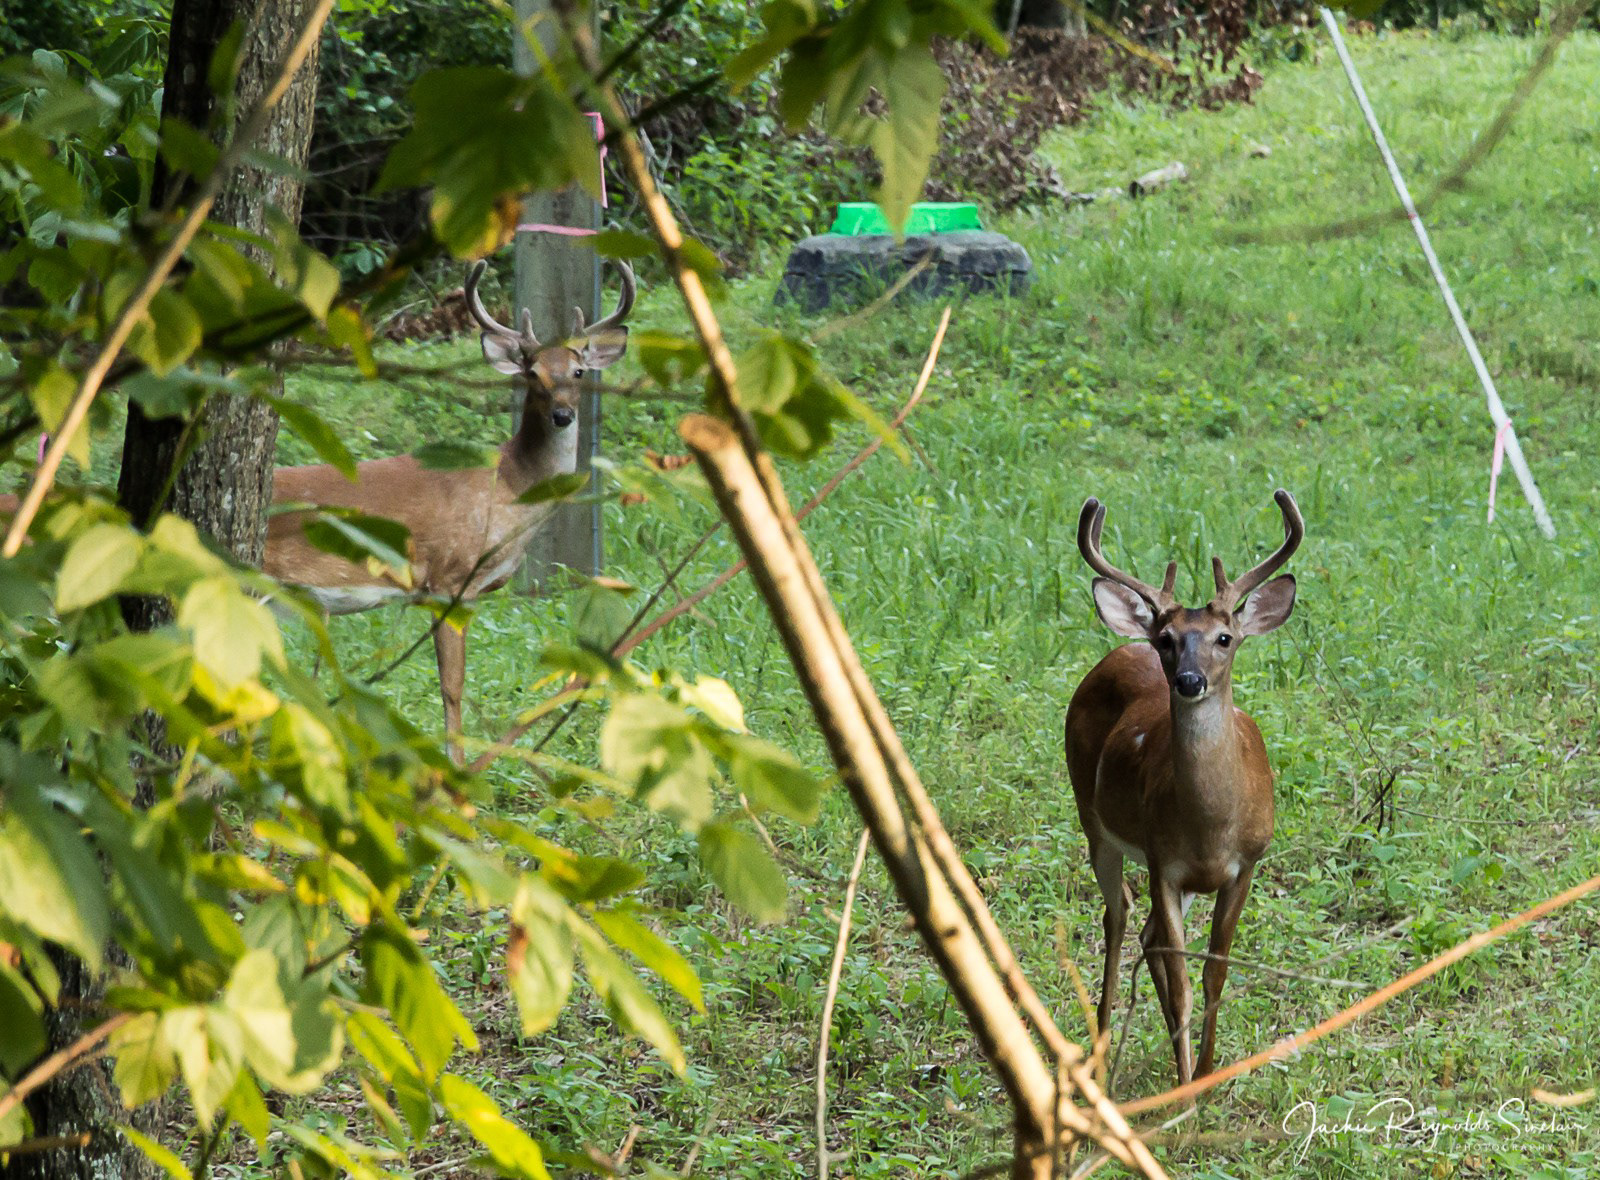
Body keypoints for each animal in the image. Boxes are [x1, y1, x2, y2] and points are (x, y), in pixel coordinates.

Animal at [264, 258, 635, 759]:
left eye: (578, 371)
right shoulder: (449, 579)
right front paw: (457, 768)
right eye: (532, 373)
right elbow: (452, 687)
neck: (509, 485)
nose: (563, 416)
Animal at [1064, 489, 1303, 1087]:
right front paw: (1186, 1088)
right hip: (1091, 818)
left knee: (1145, 934)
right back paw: (1102, 1046)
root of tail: (1120, 647)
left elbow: (1215, 974)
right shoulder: (1162, 864)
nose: (1190, 680)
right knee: (1118, 917)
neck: (1212, 827)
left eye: (1225, 638)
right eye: (1167, 640)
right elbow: (1182, 985)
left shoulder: (1246, 864)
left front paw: (1208, 1074)